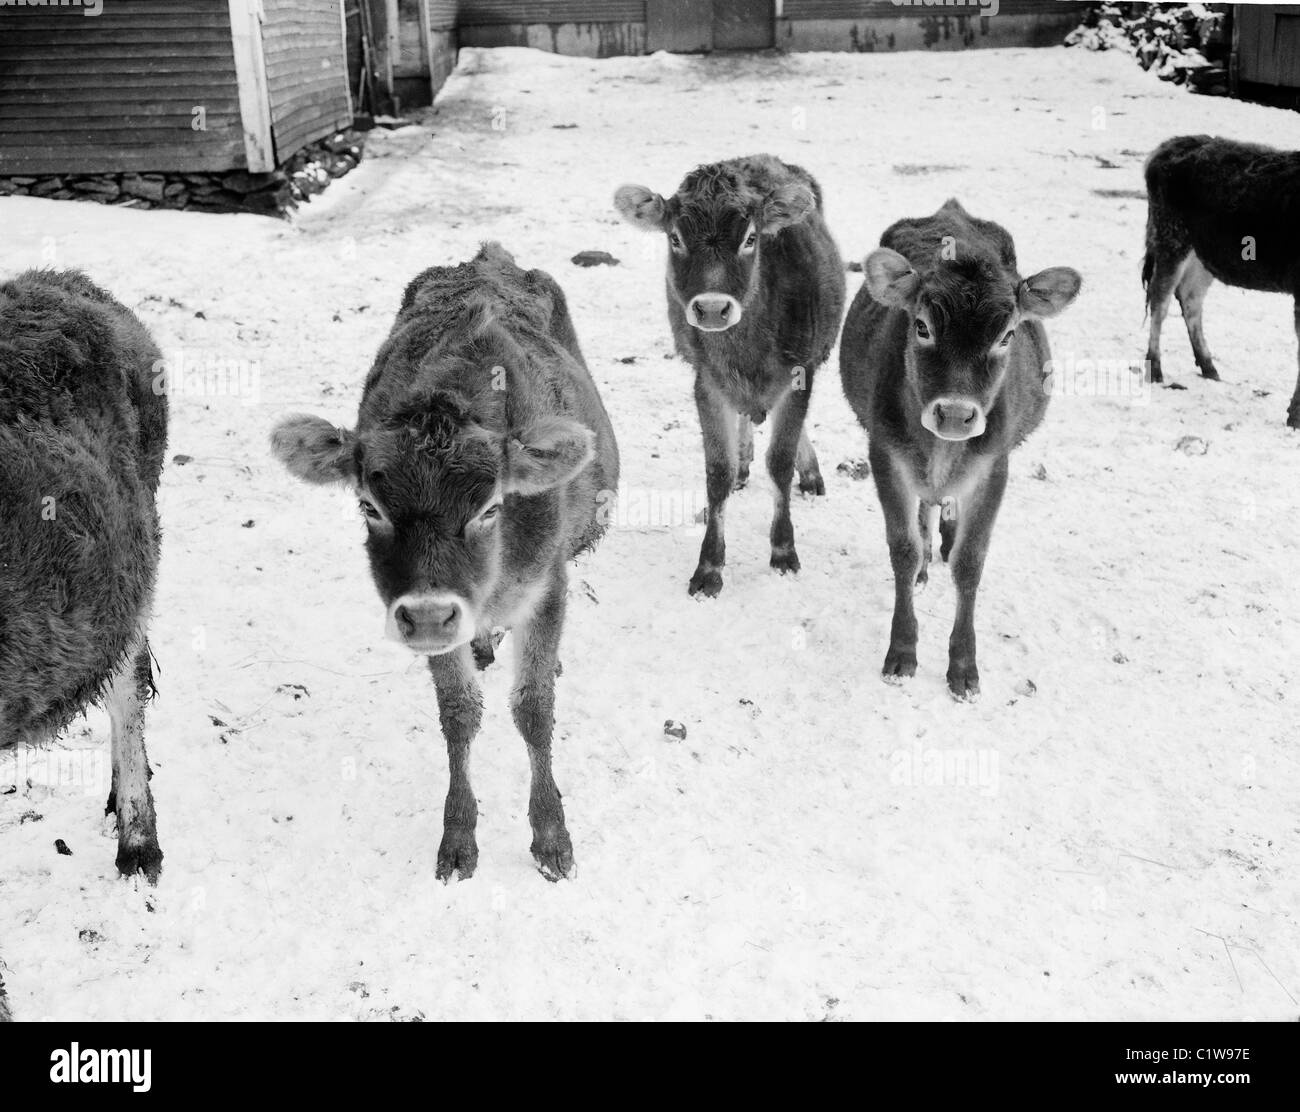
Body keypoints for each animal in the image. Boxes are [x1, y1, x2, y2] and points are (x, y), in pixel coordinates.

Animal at [270, 245, 618, 889]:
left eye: (490, 507)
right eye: (369, 505)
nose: (431, 616)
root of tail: (490, 257)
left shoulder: (547, 586)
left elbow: (533, 707)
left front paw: (551, 835)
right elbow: (459, 712)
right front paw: (458, 836)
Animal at [613, 154, 847, 600]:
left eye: (751, 238)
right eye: (674, 238)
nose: (711, 308)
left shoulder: (800, 372)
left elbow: (780, 462)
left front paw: (783, 551)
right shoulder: (706, 380)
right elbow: (716, 471)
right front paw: (709, 566)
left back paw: (809, 473)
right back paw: (744, 460)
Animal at [837, 201, 1081, 697]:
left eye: (1007, 335)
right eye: (922, 326)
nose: (953, 413)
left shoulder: (994, 467)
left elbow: (971, 562)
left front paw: (964, 665)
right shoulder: (885, 455)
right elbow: (903, 549)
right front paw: (902, 651)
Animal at [1144, 131, 1300, 426]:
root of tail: (1172, 144)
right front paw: (1294, 416)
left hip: (1202, 255)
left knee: (1190, 299)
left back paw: (1209, 367)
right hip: (1171, 237)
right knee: (1160, 300)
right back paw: (1155, 370)